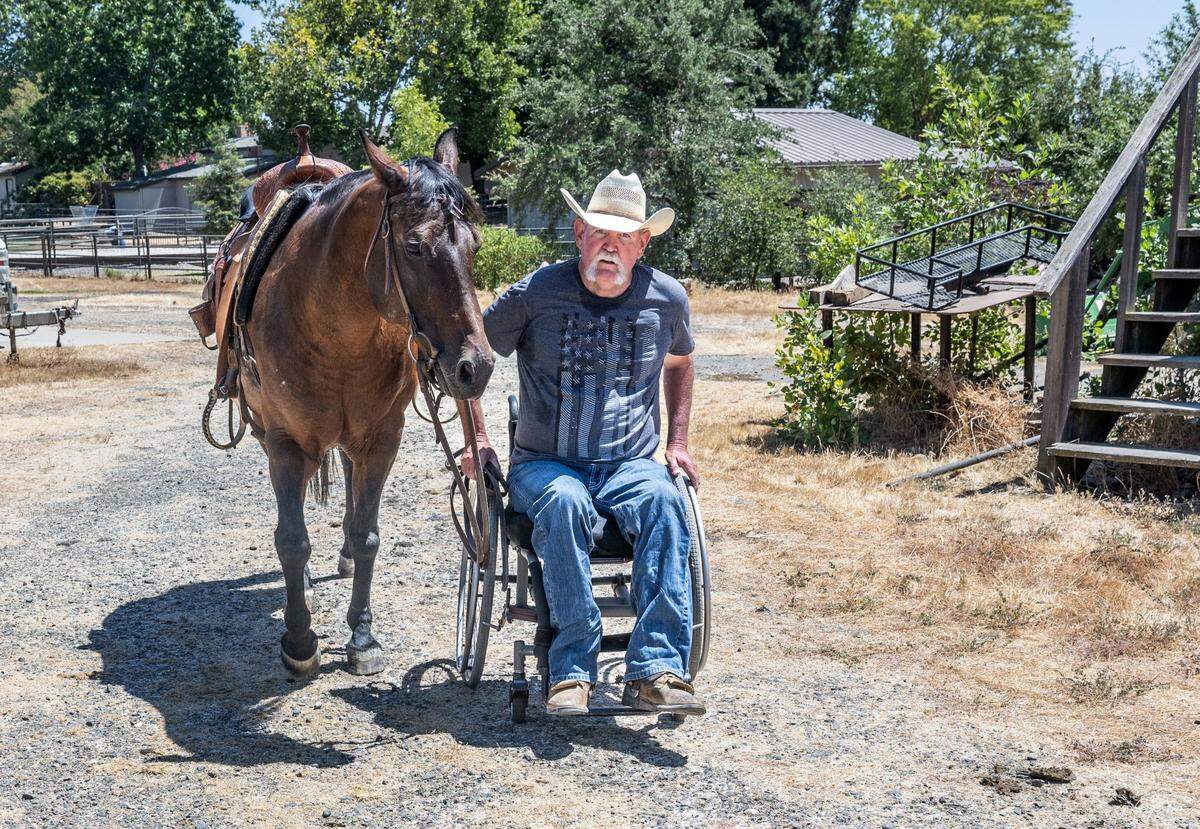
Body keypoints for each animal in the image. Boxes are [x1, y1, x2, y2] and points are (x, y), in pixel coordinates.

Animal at [238, 128, 495, 676]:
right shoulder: (286, 443)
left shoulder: (381, 439)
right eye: (414, 247)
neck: (334, 326)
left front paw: (362, 635)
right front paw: (299, 640)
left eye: (475, 245)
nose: (476, 367)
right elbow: (291, 540)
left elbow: (368, 534)